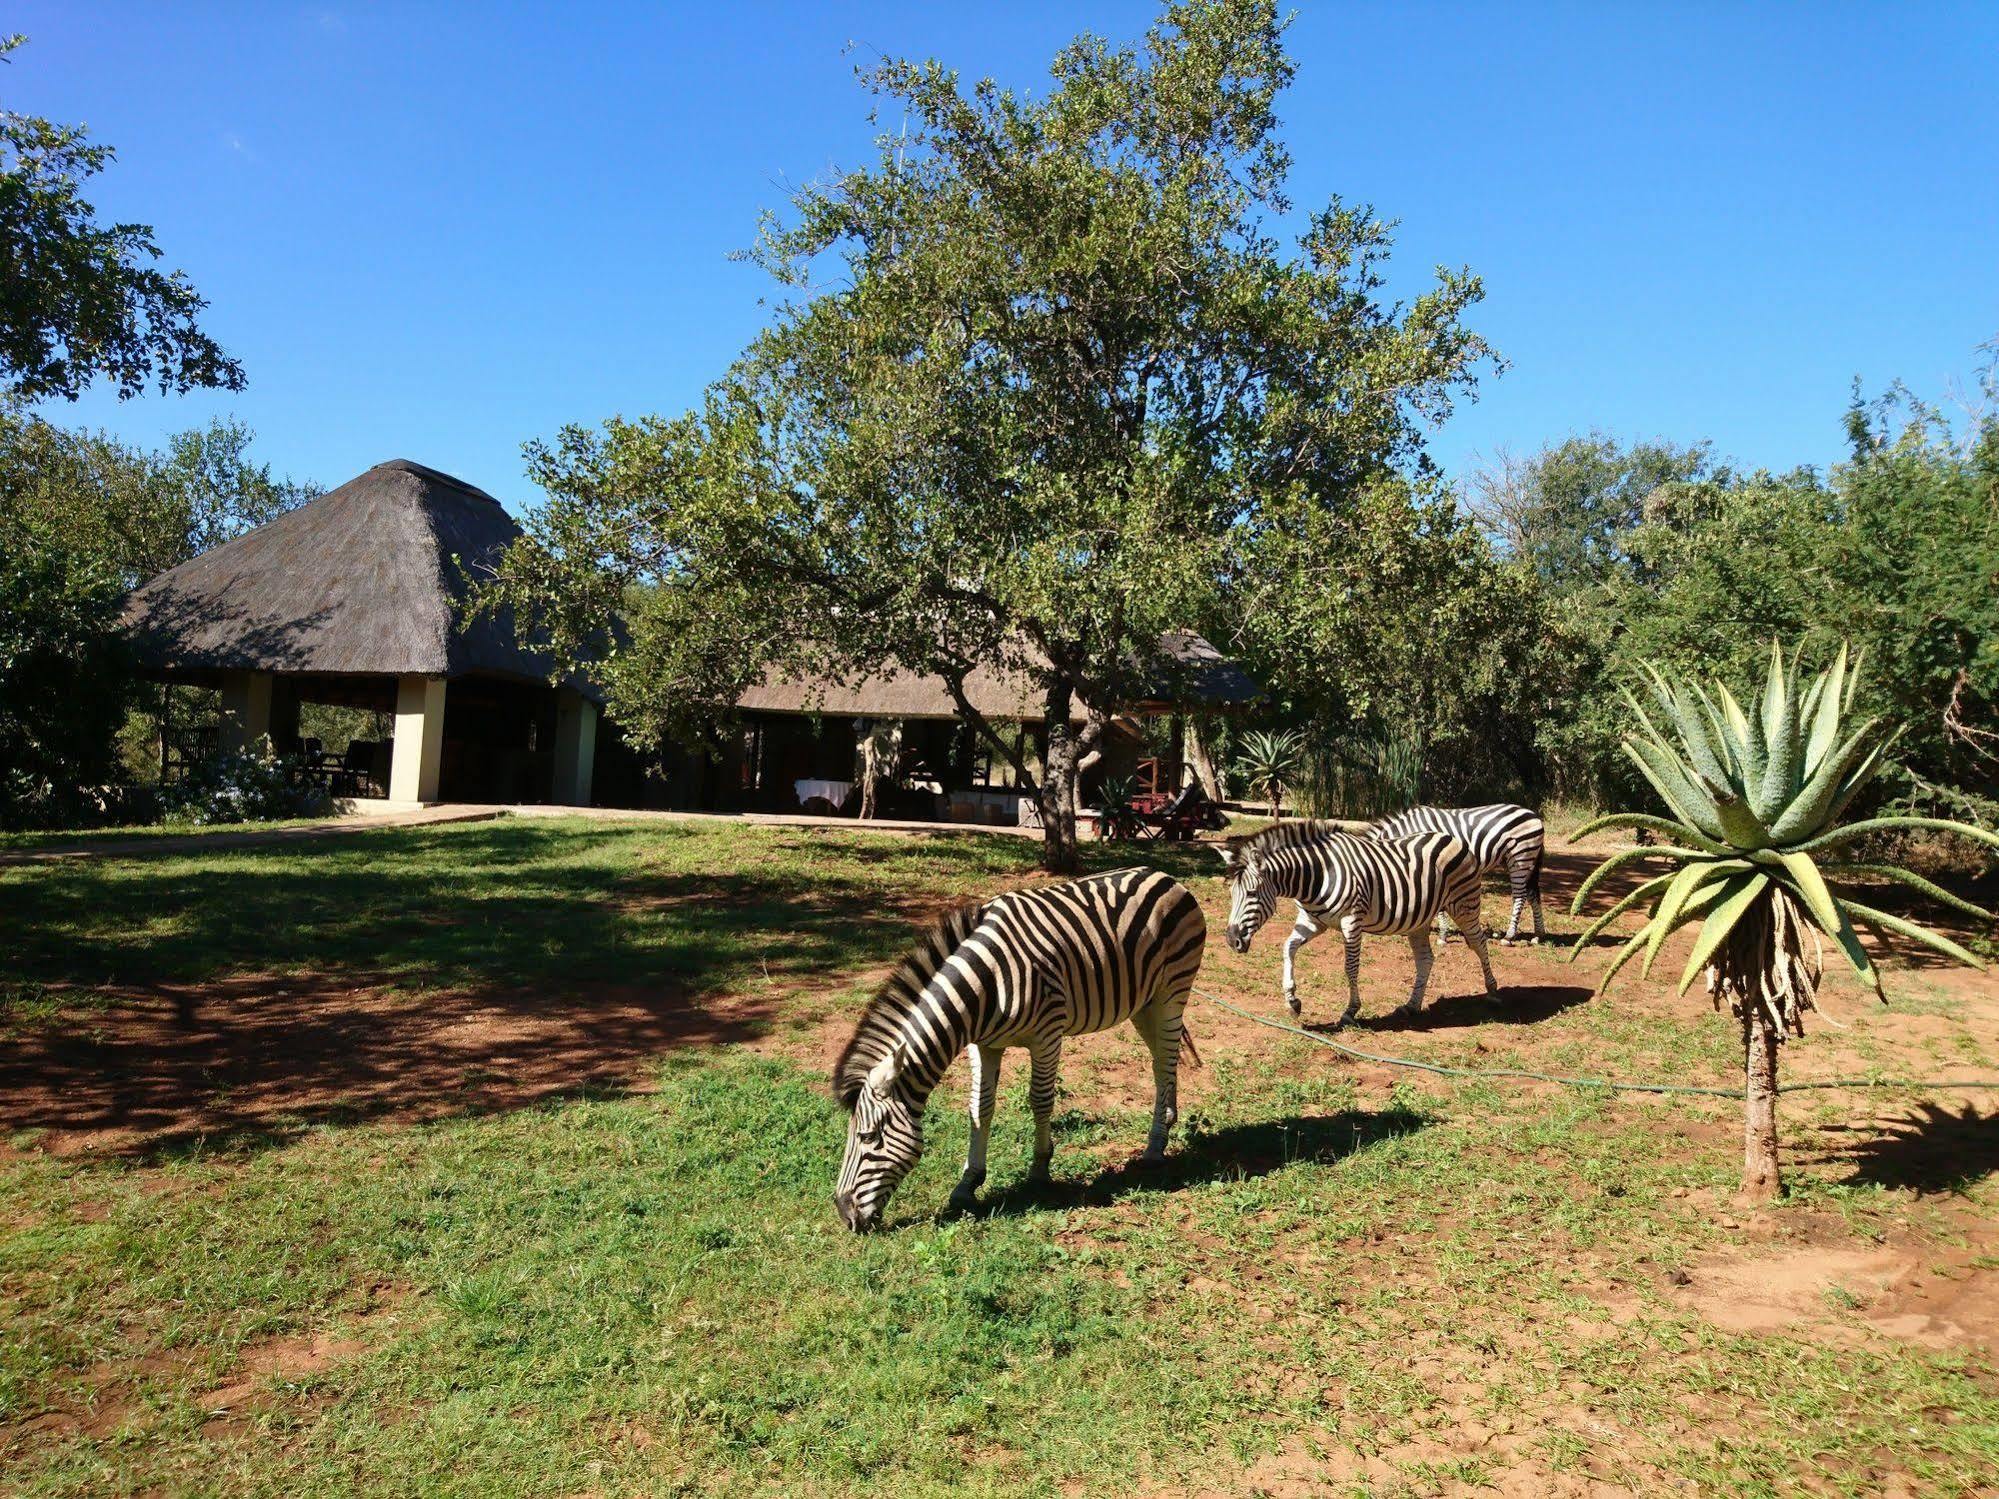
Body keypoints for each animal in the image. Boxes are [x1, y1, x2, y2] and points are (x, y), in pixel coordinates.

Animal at [827, 867, 1199, 1231]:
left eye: (868, 1137)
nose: (845, 1215)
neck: (984, 985)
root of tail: (1162, 875)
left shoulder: (1047, 1035)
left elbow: (1040, 1100)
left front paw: (1040, 1170)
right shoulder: (983, 1045)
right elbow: (980, 1108)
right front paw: (968, 1184)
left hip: (1171, 992)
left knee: (1165, 1061)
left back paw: (1155, 1147)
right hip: (1143, 1003)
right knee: (1161, 1061)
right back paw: (1168, 1121)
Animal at [1207, 823, 1495, 1031]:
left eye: (1252, 893)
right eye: (1231, 894)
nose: (1231, 940)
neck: (1316, 876)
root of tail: (1450, 837)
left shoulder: (1351, 922)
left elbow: (1351, 967)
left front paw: (1350, 1011)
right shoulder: (1312, 921)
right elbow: (1287, 948)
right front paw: (1292, 1000)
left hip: (1464, 905)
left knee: (1479, 943)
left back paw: (1493, 993)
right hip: (1420, 920)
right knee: (1425, 959)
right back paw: (1411, 1005)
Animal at [1375, 803, 1543, 943]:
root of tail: (1534, 816)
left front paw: (1442, 935)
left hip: (1520, 856)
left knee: (1520, 896)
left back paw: (1509, 936)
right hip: (1523, 860)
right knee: (1533, 894)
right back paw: (1537, 935)